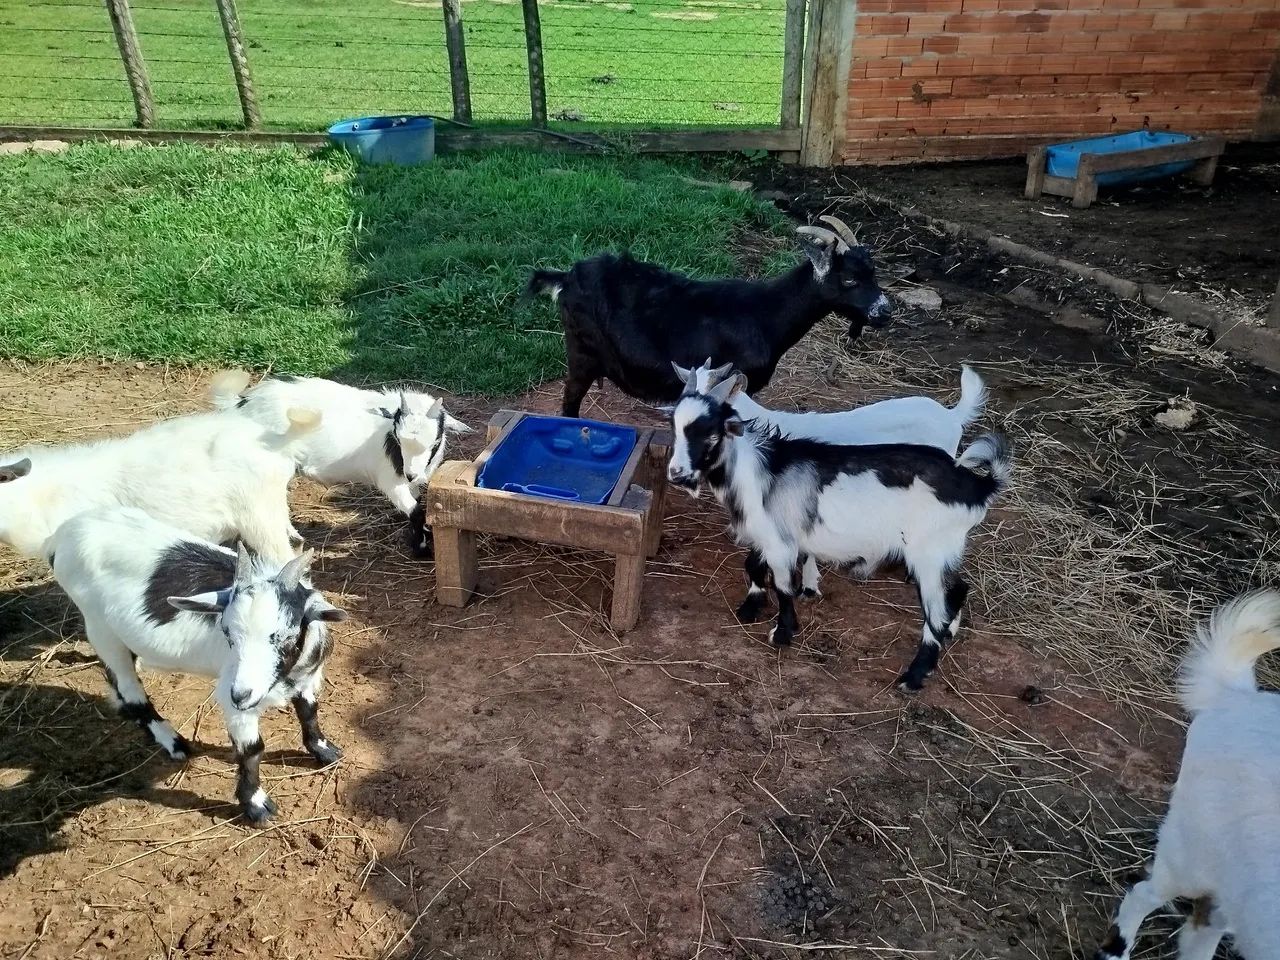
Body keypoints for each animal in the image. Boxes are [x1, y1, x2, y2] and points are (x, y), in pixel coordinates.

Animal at [47, 508, 347, 825]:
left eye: (286, 636)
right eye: (227, 633)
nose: (241, 695)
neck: (287, 675)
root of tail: (63, 535)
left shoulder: (307, 678)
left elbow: (309, 712)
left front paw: (324, 750)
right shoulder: (233, 694)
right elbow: (252, 750)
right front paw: (256, 805)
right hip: (99, 627)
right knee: (127, 687)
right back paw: (173, 742)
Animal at [211, 372, 472, 556]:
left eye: (435, 441)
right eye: (398, 439)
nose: (410, 474)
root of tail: (241, 403)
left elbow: (419, 504)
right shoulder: (391, 481)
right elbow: (416, 511)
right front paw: (421, 549)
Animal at [527, 215, 892, 417]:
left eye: (873, 273)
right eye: (849, 280)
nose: (885, 312)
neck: (766, 313)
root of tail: (565, 279)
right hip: (582, 353)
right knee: (569, 402)